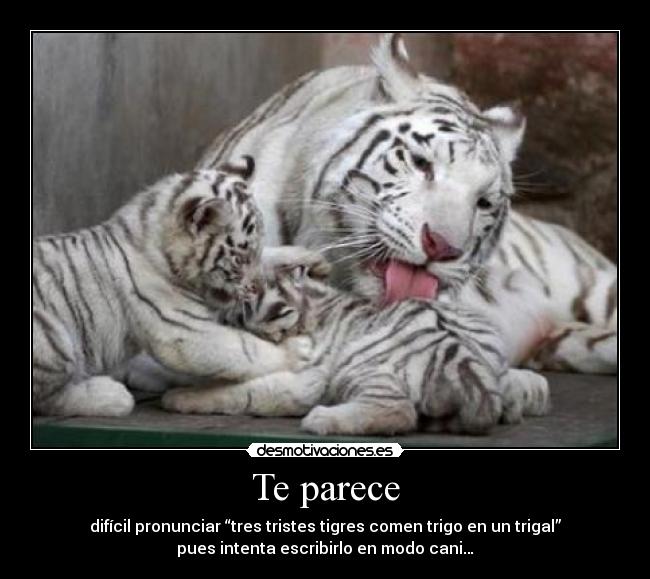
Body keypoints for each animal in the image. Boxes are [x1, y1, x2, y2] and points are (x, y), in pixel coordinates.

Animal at [32, 157, 317, 417]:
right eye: (239, 259)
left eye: (255, 253)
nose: (256, 288)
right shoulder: (183, 330)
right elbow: (246, 349)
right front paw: (298, 352)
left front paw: (304, 256)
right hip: (51, 336)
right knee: (47, 399)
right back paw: (110, 396)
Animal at [161, 229, 551, 436]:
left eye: (252, 294)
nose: (228, 296)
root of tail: (468, 365)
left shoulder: (303, 381)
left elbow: (239, 392)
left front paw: (180, 397)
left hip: (362, 365)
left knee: (397, 411)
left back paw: (322, 420)